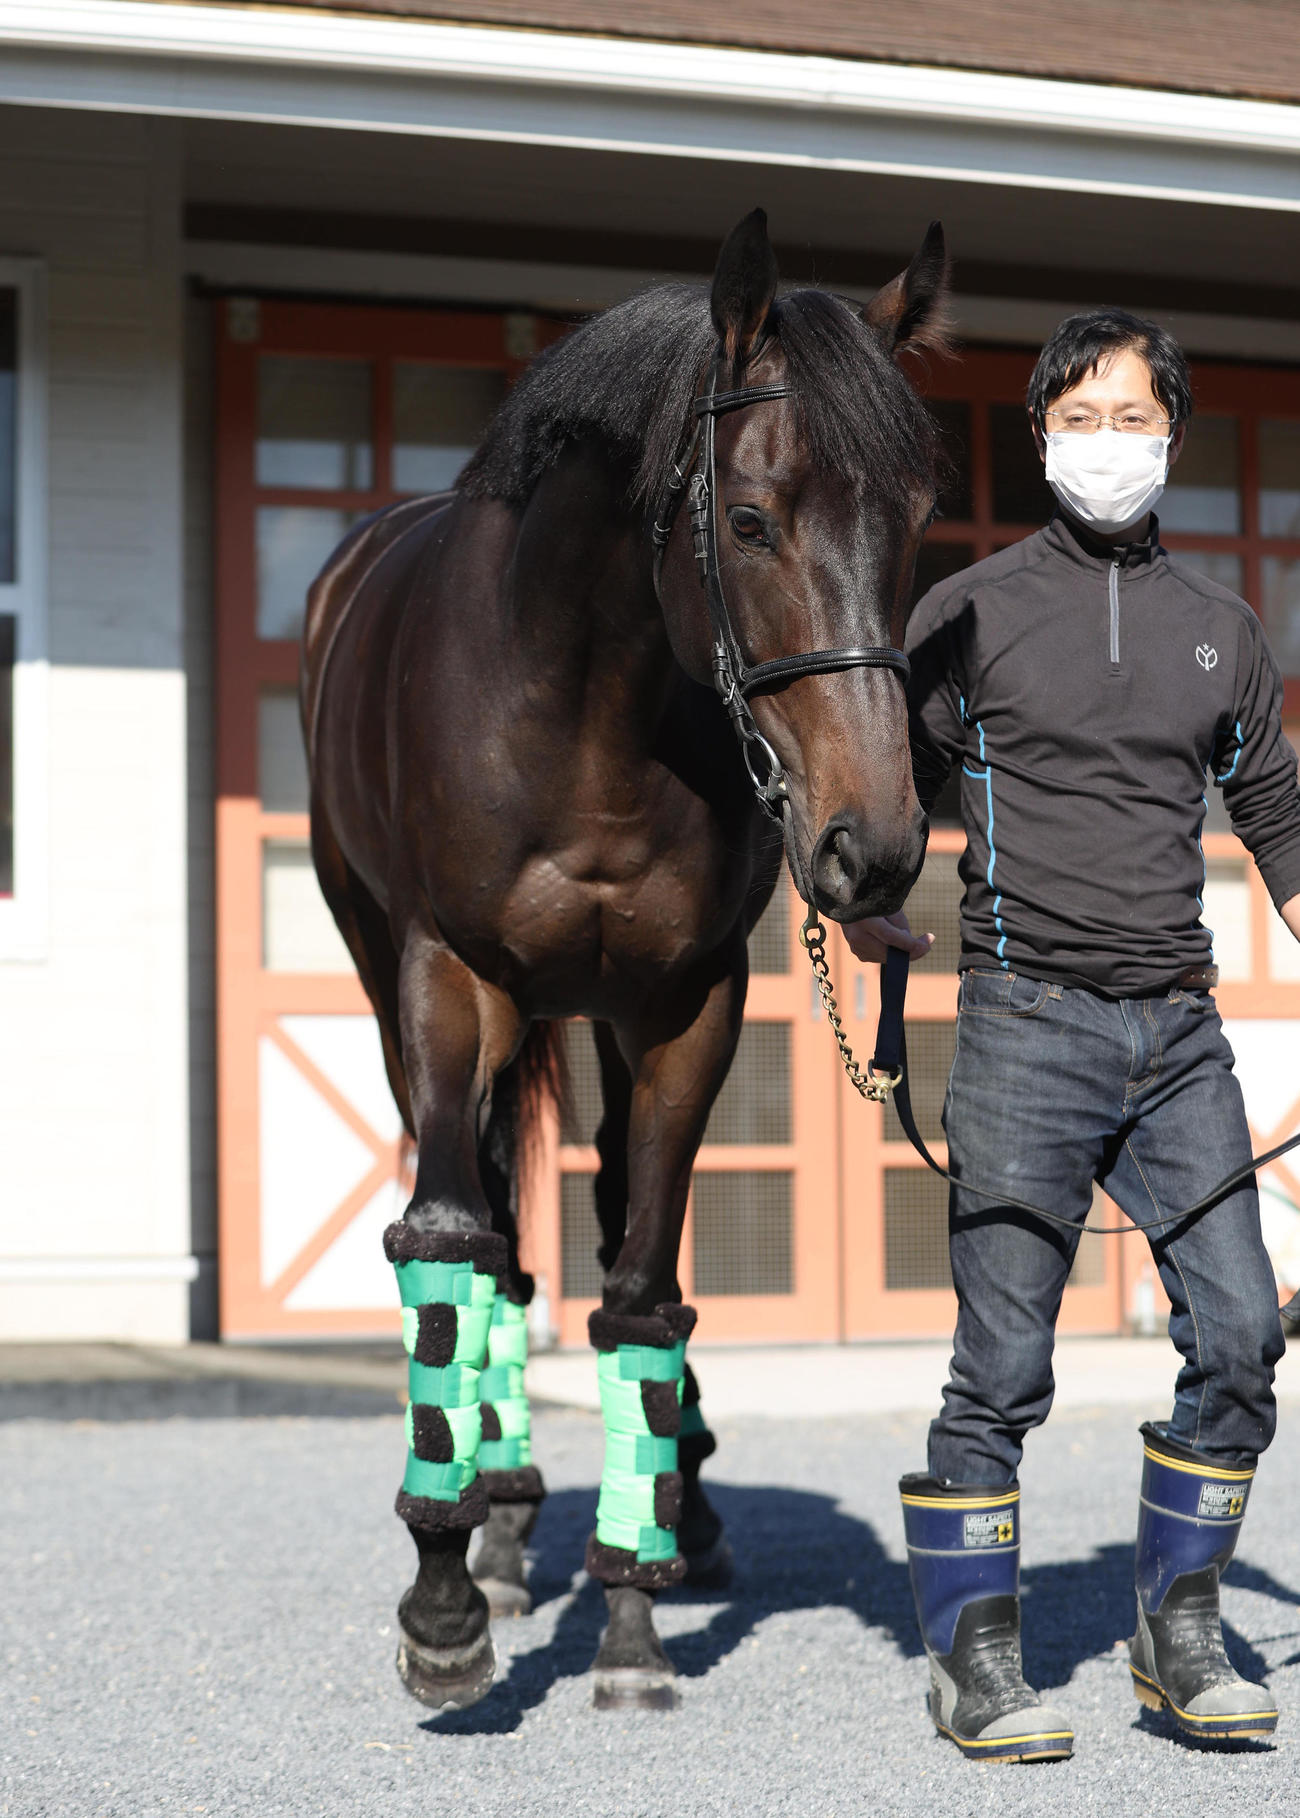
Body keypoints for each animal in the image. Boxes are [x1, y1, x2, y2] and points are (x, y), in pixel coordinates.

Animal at [302, 208, 948, 1713]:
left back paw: (656, 1504)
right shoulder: (449, 981)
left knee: (592, 1233)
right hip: (394, 983)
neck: (582, 708)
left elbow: (645, 1287)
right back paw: (490, 1521)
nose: (876, 848)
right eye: (753, 520)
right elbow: (448, 1246)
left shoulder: (683, 1004)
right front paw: (442, 1599)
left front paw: (634, 1611)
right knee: (489, 1231)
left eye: (915, 524)